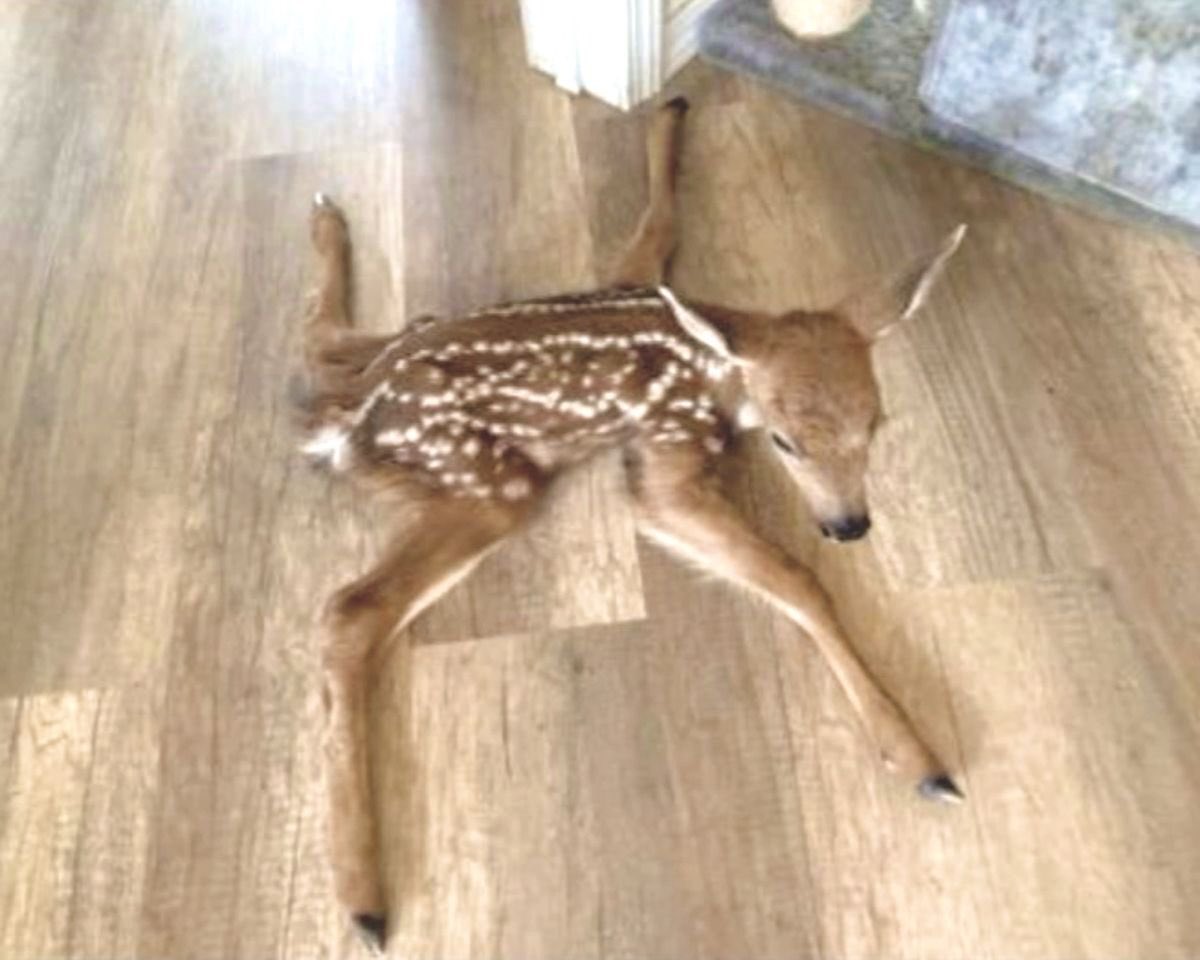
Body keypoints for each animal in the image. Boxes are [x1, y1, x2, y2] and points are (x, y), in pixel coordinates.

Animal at [300, 97, 967, 952]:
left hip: (419, 360)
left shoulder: (640, 281)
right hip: (489, 483)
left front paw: (669, 118)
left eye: (877, 424)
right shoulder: (661, 464)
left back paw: (327, 216)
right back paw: (365, 901)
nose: (850, 525)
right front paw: (918, 756)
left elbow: (655, 228)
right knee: (349, 609)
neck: (715, 374)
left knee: (326, 347)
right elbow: (795, 580)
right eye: (787, 443)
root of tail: (351, 421)